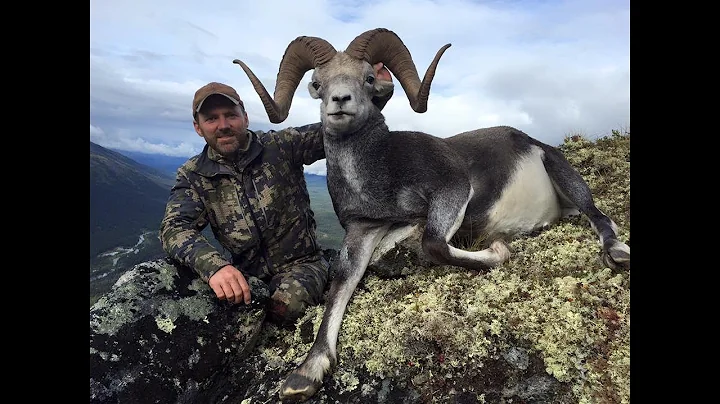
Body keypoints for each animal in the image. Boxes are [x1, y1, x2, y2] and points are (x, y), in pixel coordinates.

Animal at [233, 27, 630, 402]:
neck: (380, 170)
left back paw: (617, 253)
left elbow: (434, 244)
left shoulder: (452, 190)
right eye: (317, 82)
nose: (339, 101)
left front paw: (499, 250)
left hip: (562, 172)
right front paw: (306, 373)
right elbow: (341, 284)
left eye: (368, 77)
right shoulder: (363, 228)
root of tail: (531, 141)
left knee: (600, 217)